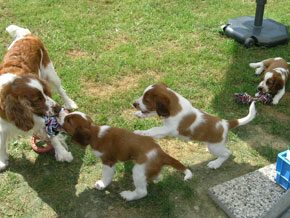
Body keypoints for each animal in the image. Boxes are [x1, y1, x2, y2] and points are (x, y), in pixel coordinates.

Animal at [0, 24, 75, 169]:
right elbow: (1, 144)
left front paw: (62, 154)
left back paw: (69, 103)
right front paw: (2, 161)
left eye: (45, 93)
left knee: (60, 89)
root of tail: (26, 35)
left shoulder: (43, 118)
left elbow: (53, 136)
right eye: (37, 99)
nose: (58, 108)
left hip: (50, 72)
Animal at [56, 110, 193, 201]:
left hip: (138, 170)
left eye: (69, 120)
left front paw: (102, 185)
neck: (95, 132)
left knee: (142, 191)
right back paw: (155, 177)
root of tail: (161, 153)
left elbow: (106, 176)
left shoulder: (108, 161)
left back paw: (128, 195)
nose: (58, 113)